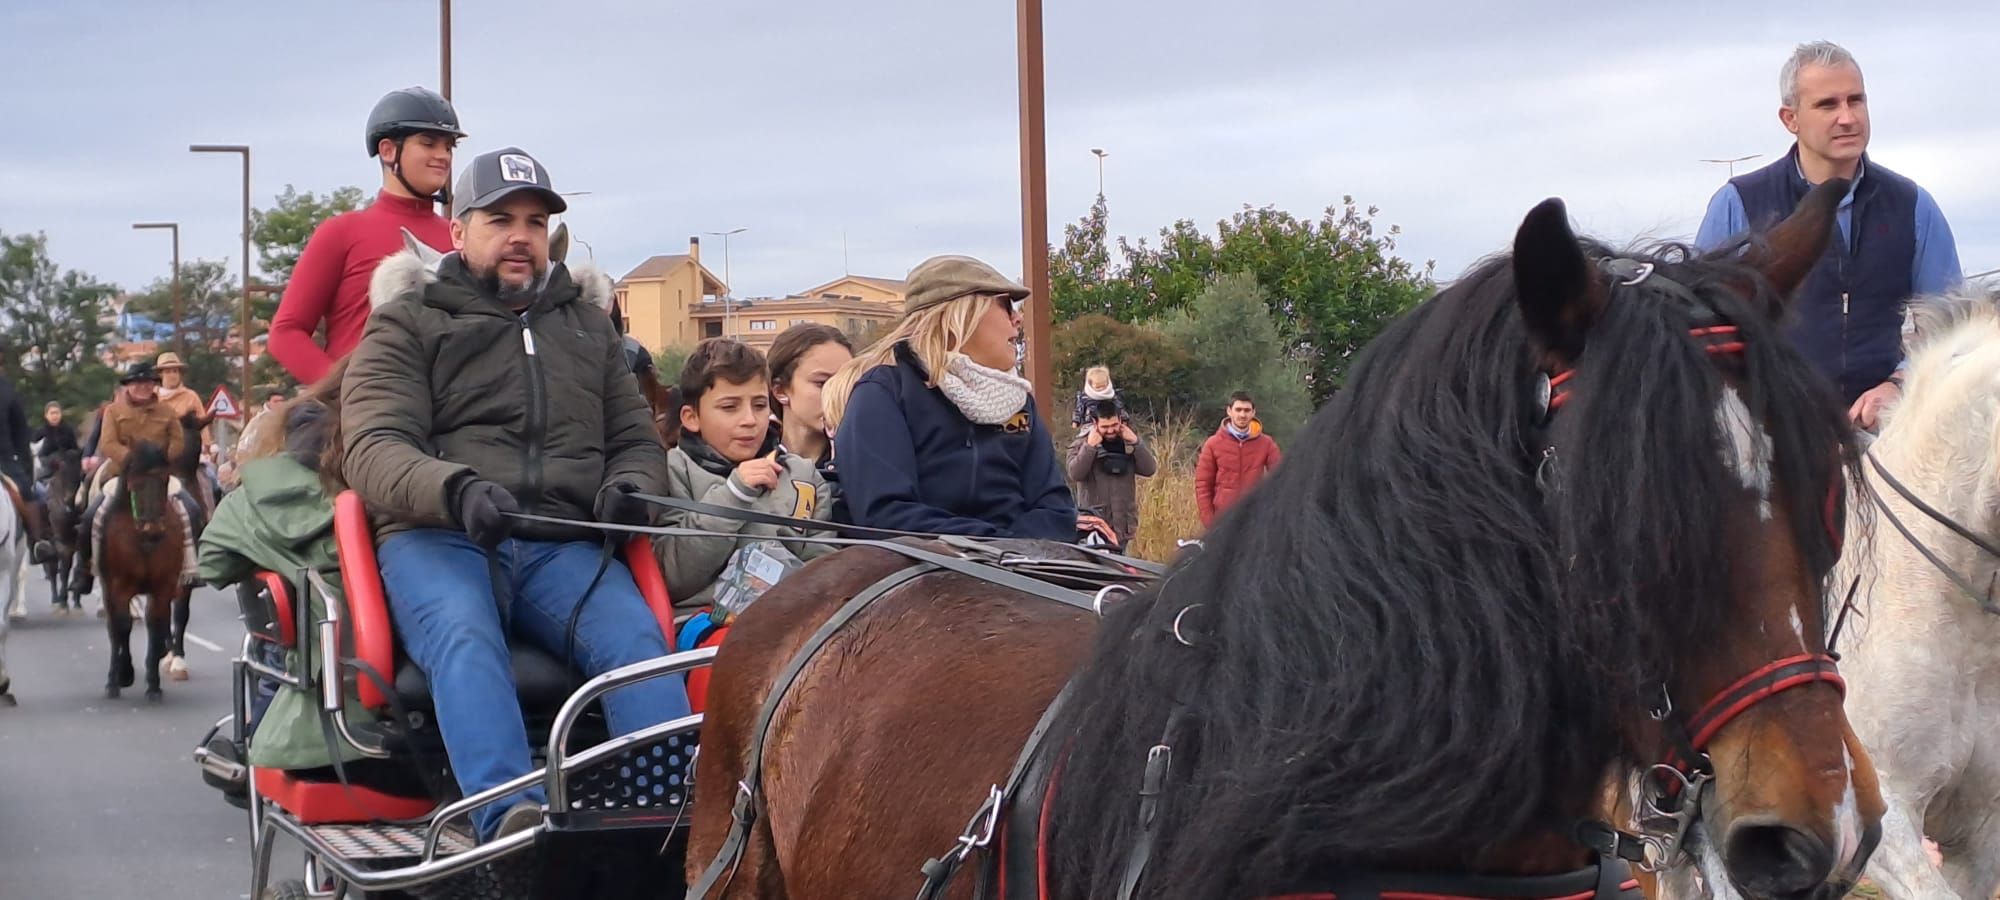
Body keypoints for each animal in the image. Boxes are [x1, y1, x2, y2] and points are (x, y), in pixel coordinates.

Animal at [101, 442, 189, 704]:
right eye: (135, 482)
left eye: (164, 480)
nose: (154, 529)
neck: (143, 541)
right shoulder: (119, 586)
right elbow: (122, 626)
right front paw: (122, 675)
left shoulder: (163, 587)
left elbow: (156, 623)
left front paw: (153, 684)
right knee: (114, 628)